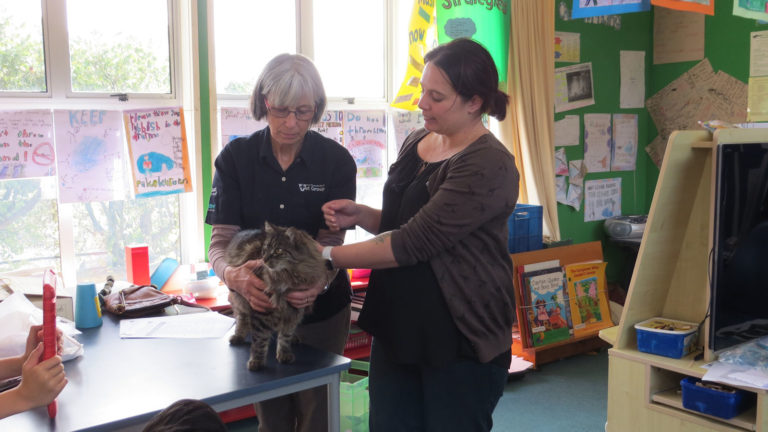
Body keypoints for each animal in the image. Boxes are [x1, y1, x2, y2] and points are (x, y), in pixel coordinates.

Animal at [226, 223, 338, 372]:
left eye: (278, 250)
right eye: (265, 248)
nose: (264, 259)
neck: (290, 275)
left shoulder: (295, 310)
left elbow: (285, 335)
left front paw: (284, 354)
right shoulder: (262, 310)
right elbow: (260, 340)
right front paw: (256, 361)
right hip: (240, 299)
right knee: (242, 318)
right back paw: (238, 336)